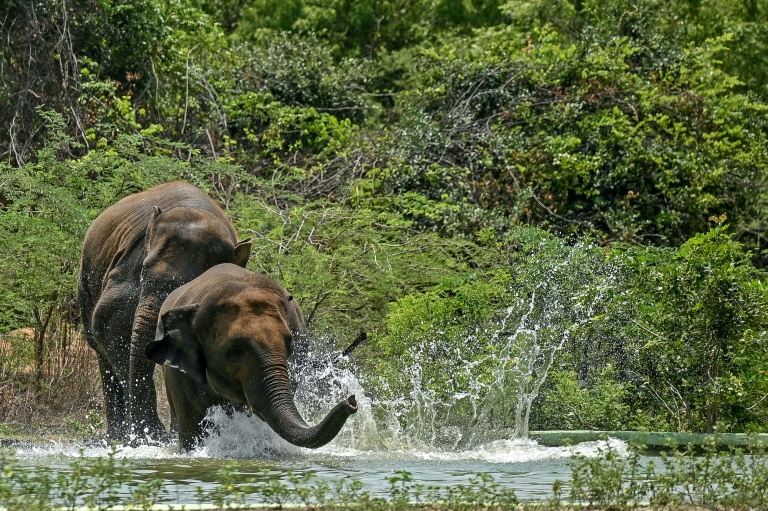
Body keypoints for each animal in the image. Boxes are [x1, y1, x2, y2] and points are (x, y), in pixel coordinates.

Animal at [78, 182, 252, 443]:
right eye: (143, 272)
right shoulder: (128, 270)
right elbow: (111, 323)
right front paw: (151, 437)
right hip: (85, 282)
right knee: (102, 352)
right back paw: (119, 437)